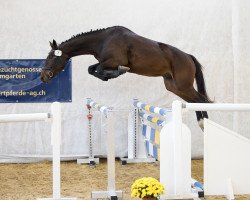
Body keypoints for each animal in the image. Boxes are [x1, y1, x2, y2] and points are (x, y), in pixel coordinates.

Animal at [40, 25, 211, 129]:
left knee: (201, 100)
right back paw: (203, 123)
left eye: (51, 57)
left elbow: (100, 69)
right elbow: (92, 69)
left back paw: (205, 123)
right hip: (174, 86)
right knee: (195, 102)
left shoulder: (113, 61)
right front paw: (108, 76)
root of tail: (188, 57)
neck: (103, 40)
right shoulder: (105, 62)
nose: (43, 77)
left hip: (183, 86)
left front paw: (117, 72)